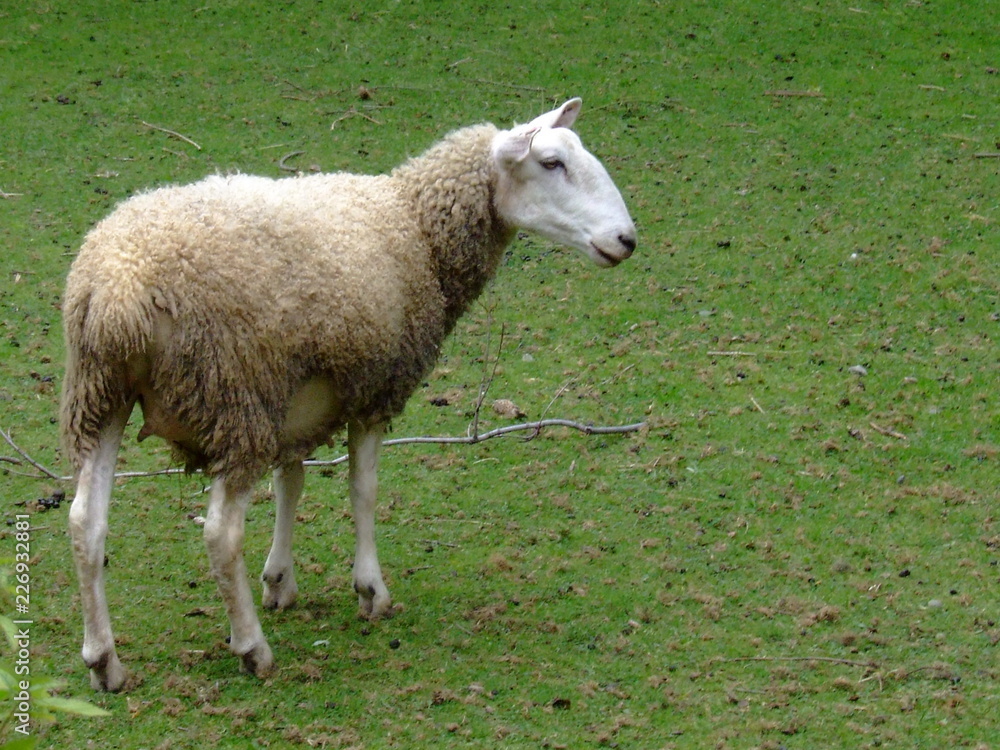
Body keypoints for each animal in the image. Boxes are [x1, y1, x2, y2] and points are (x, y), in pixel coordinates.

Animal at [61, 98, 637, 691]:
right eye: (551, 163)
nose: (626, 239)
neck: (416, 226)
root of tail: (120, 288)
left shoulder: (295, 398)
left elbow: (290, 484)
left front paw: (279, 580)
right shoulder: (375, 389)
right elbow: (363, 489)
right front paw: (370, 589)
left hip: (101, 395)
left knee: (85, 524)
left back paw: (104, 660)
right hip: (236, 394)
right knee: (220, 533)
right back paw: (252, 649)